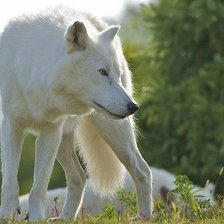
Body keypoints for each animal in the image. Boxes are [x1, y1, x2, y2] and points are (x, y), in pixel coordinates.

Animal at [0, 6, 152, 221]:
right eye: (102, 72)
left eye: (116, 74)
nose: (133, 106)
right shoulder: (11, 125)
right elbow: (10, 182)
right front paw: (7, 216)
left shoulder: (50, 130)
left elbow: (39, 186)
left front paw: (36, 218)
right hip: (65, 141)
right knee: (79, 177)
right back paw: (64, 219)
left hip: (112, 131)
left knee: (142, 171)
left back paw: (144, 217)